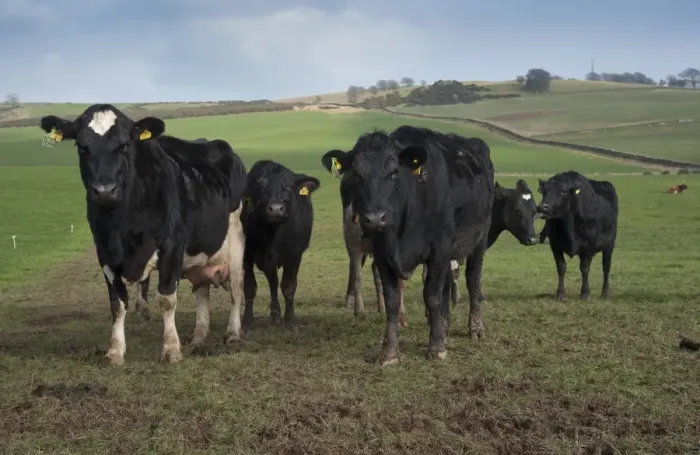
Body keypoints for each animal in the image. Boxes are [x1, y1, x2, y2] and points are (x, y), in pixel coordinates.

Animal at [39, 104, 247, 365]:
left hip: (236, 238)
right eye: (81, 146)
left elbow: (167, 300)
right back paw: (199, 336)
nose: (105, 191)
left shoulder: (171, 247)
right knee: (202, 290)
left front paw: (171, 349)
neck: (122, 228)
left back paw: (233, 333)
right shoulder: (105, 253)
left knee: (237, 289)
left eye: (125, 144)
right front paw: (115, 351)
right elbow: (117, 303)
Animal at [241, 160, 320, 332]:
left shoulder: (294, 255)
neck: (271, 234)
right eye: (260, 187)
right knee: (273, 283)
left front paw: (290, 321)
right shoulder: (246, 255)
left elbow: (288, 286)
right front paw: (247, 322)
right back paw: (275, 314)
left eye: (289, 186)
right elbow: (250, 288)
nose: (276, 209)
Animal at [321, 125, 494, 364]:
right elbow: (393, 298)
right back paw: (444, 325)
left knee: (472, 280)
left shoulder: (439, 249)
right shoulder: (383, 254)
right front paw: (389, 351)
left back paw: (475, 328)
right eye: (356, 174)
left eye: (394, 172)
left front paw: (437, 347)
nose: (375, 218)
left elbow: (432, 295)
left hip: (479, 240)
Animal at [536, 171, 618, 301]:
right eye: (544, 190)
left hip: (610, 244)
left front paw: (585, 293)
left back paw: (605, 293)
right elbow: (561, 267)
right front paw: (560, 294)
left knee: (606, 266)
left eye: (563, 191)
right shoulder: (555, 245)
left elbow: (584, 268)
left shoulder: (588, 246)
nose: (543, 207)